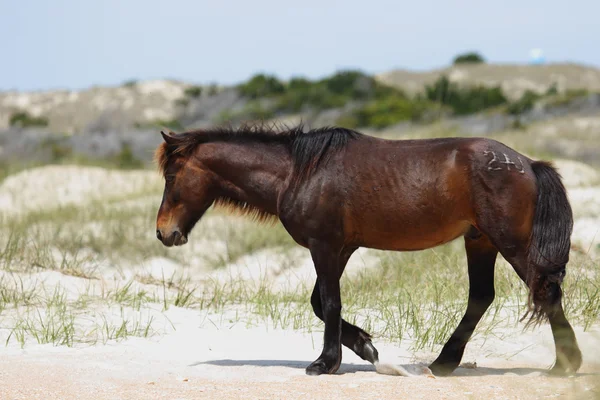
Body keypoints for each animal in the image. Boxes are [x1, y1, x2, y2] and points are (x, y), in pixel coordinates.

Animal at [154, 123, 580, 376]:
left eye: (172, 176)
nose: (163, 232)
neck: (298, 172)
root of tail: (527, 163)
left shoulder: (325, 246)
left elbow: (329, 303)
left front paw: (326, 362)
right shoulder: (341, 249)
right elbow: (320, 303)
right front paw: (366, 347)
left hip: (510, 244)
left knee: (545, 293)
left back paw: (565, 365)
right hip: (480, 241)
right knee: (481, 297)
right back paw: (443, 363)